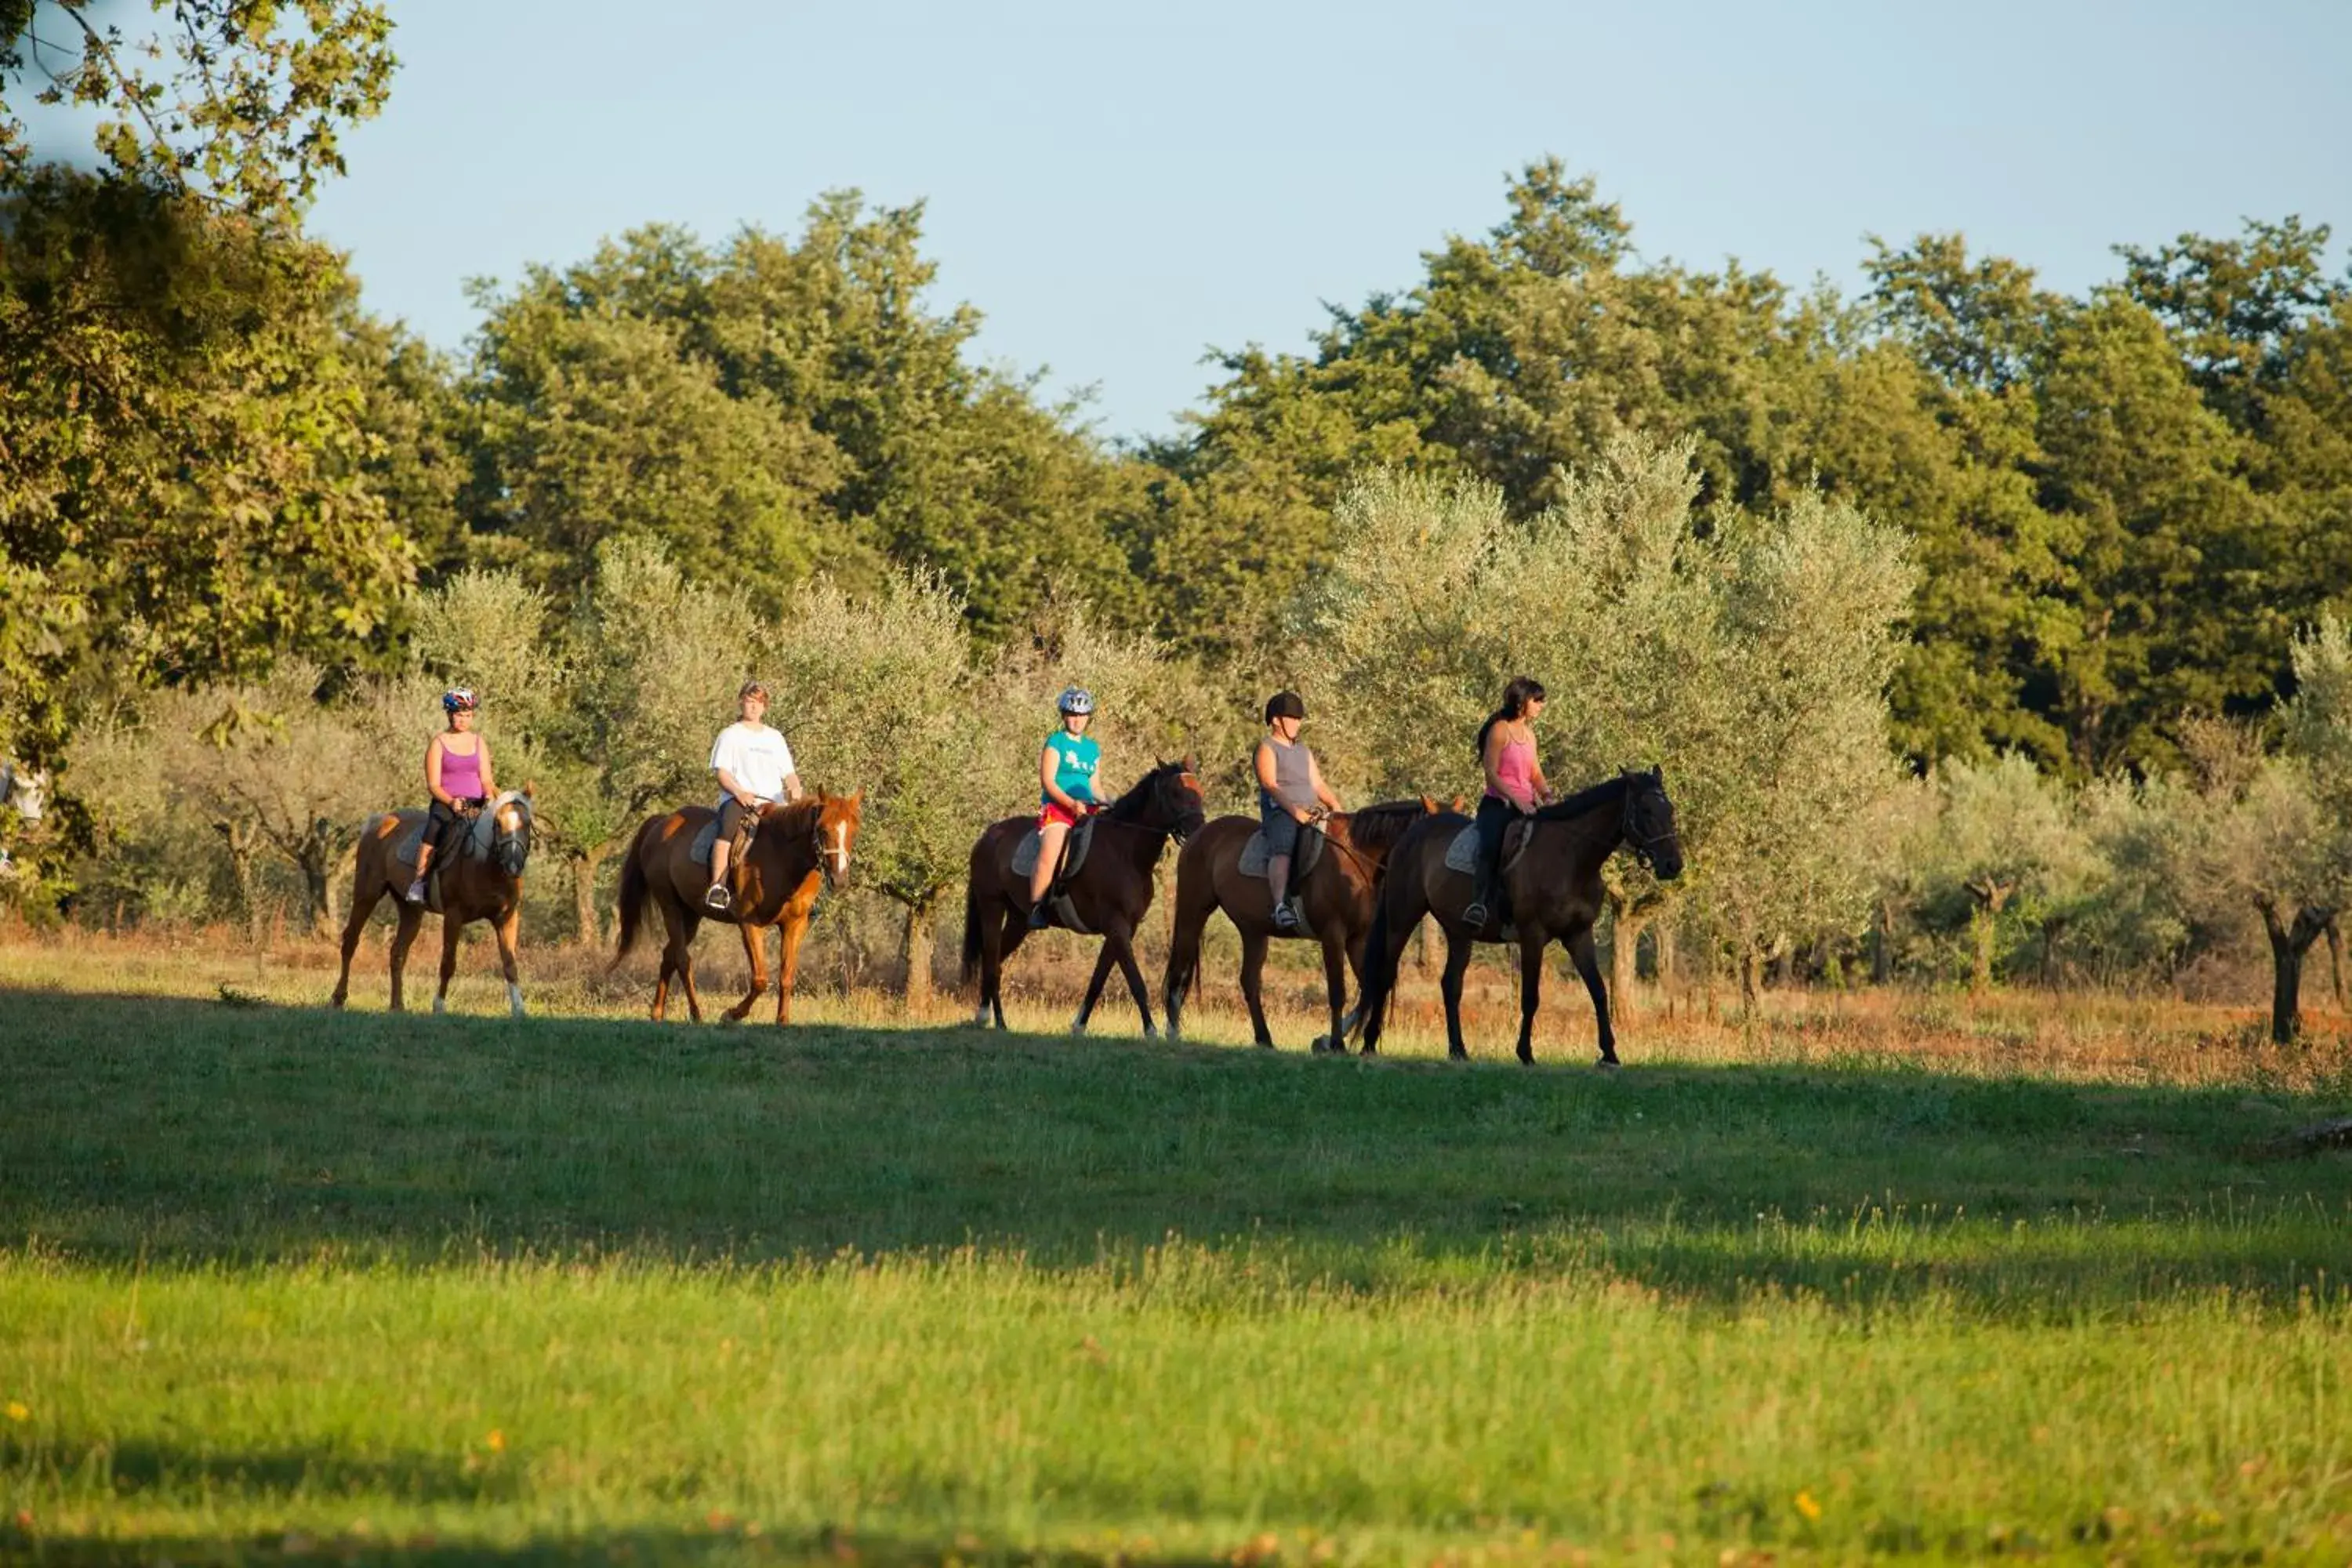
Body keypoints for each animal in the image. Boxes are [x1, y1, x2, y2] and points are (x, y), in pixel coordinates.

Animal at [332, 789, 539, 1025]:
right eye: (497, 823)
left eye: (527, 823)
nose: (513, 864)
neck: (485, 865)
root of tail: (377, 822)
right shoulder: (453, 916)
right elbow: (448, 963)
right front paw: (438, 1006)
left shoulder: (507, 917)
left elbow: (510, 964)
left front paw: (519, 1009)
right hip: (367, 894)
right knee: (350, 941)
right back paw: (338, 998)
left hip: (411, 910)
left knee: (398, 953)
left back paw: (397, 1006)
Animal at [616, 789, 866, 1025]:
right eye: (822, 830)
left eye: (854, 831)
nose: (839, 880)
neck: (783, 857)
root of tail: (662, 822)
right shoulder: (750, 924)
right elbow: (760, 980)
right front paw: (731, 1014)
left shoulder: (795, 924)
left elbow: (786, 975)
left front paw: (782, 1020)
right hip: (670, 907)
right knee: (682, 960)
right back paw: (696, 1014)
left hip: (691, 915)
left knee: (669, 956)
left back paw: (657, 1013)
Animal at [960, 761, 1204, 1044]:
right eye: (1176, 793)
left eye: (1199, 790)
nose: (1199, 829)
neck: (1125, 851)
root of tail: (989, 835)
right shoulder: (1116, 925)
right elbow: (1135, 980)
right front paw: (1150, 1030)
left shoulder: (1123, 929)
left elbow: (1098, 979)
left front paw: (1079, 1025)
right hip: (992, 907)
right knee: (991, 963)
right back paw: (994, 1020)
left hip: (1018, 920)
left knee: (996, 961)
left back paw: (988, 1017)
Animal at [1167, 799, 1439, 1053]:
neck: (1355, 857)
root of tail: (1198, 835)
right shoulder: (1333, 935)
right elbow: (1338, 991)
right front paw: (1336, 1043)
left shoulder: (1358, 939)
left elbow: (1368, 989)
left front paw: (1325, 1041)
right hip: (1193, 913)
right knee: (1179, 970)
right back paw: (1172, 1032)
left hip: (1253, 931)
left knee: (1249, 982)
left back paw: (1264, 1038)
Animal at [1355, 771, 1684, 1067]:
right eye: (1646, 810)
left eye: (1670, 810)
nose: (1673, 865)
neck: (1571, 858)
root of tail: (1409, 837)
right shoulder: (1532, 935)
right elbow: (1530, 996)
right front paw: (1525, 1053)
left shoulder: (1579, 935)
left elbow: (1599, 991)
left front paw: (1610, 1054)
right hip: (1402, 917)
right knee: (1385, 975)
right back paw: (1369, 1044)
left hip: (1459, 932)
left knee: (1451, 984)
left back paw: (1458, 1050)